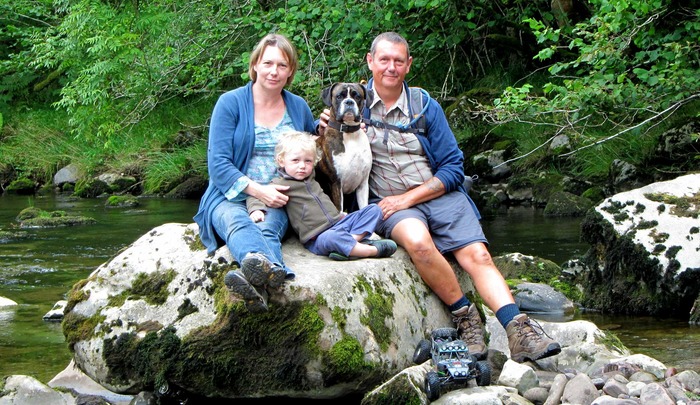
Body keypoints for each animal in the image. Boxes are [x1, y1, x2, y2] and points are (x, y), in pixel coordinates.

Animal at [315, 82, 374, 212]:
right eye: (339, 96)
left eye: (357, 96)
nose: (349, 102)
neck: (350, 133)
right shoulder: (336, 184)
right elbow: (339, 210)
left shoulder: (363, 184)